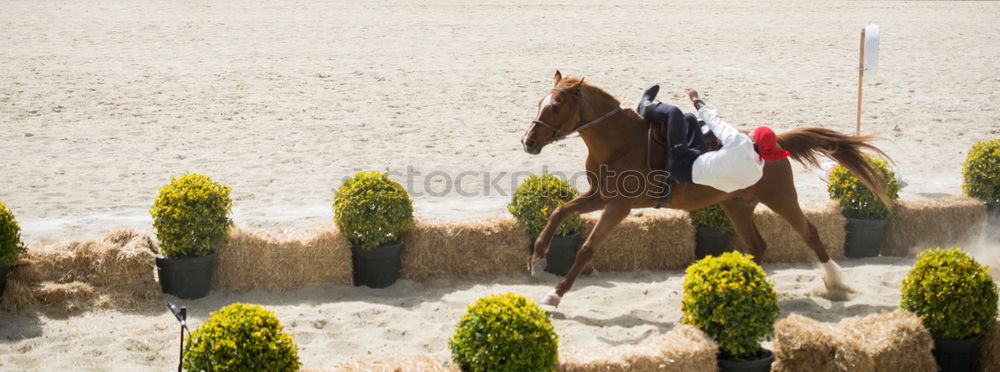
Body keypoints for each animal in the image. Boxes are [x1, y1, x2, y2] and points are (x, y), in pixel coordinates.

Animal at [524, 71, 892, 306]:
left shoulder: (618, 206)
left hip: (781, 199)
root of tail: (769, 143)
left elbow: (587, 248)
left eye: (554, 106)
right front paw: (538, 255)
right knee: (758, 245)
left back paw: (835, 281)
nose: (528, 141)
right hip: (737, 206)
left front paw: (555, 295)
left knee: (810, 234)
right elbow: (559, 211)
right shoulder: (600, 196)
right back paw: (743, 280)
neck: (619, 141)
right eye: (539, 102)